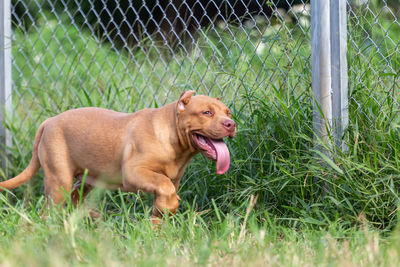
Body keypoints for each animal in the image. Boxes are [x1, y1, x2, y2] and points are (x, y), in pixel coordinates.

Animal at [0, 92, 234, 224]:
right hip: (59, 181)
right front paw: (168, 206)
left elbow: (165, 190)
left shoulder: (172, 179)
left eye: (228, 112)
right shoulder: (134, 172)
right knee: (49, 210)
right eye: (206, 113)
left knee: (75, 199)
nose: (231, 124)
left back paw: (88, 219)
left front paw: (160, 223)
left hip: (86, 179)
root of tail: (48, 121)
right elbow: (163, 184)